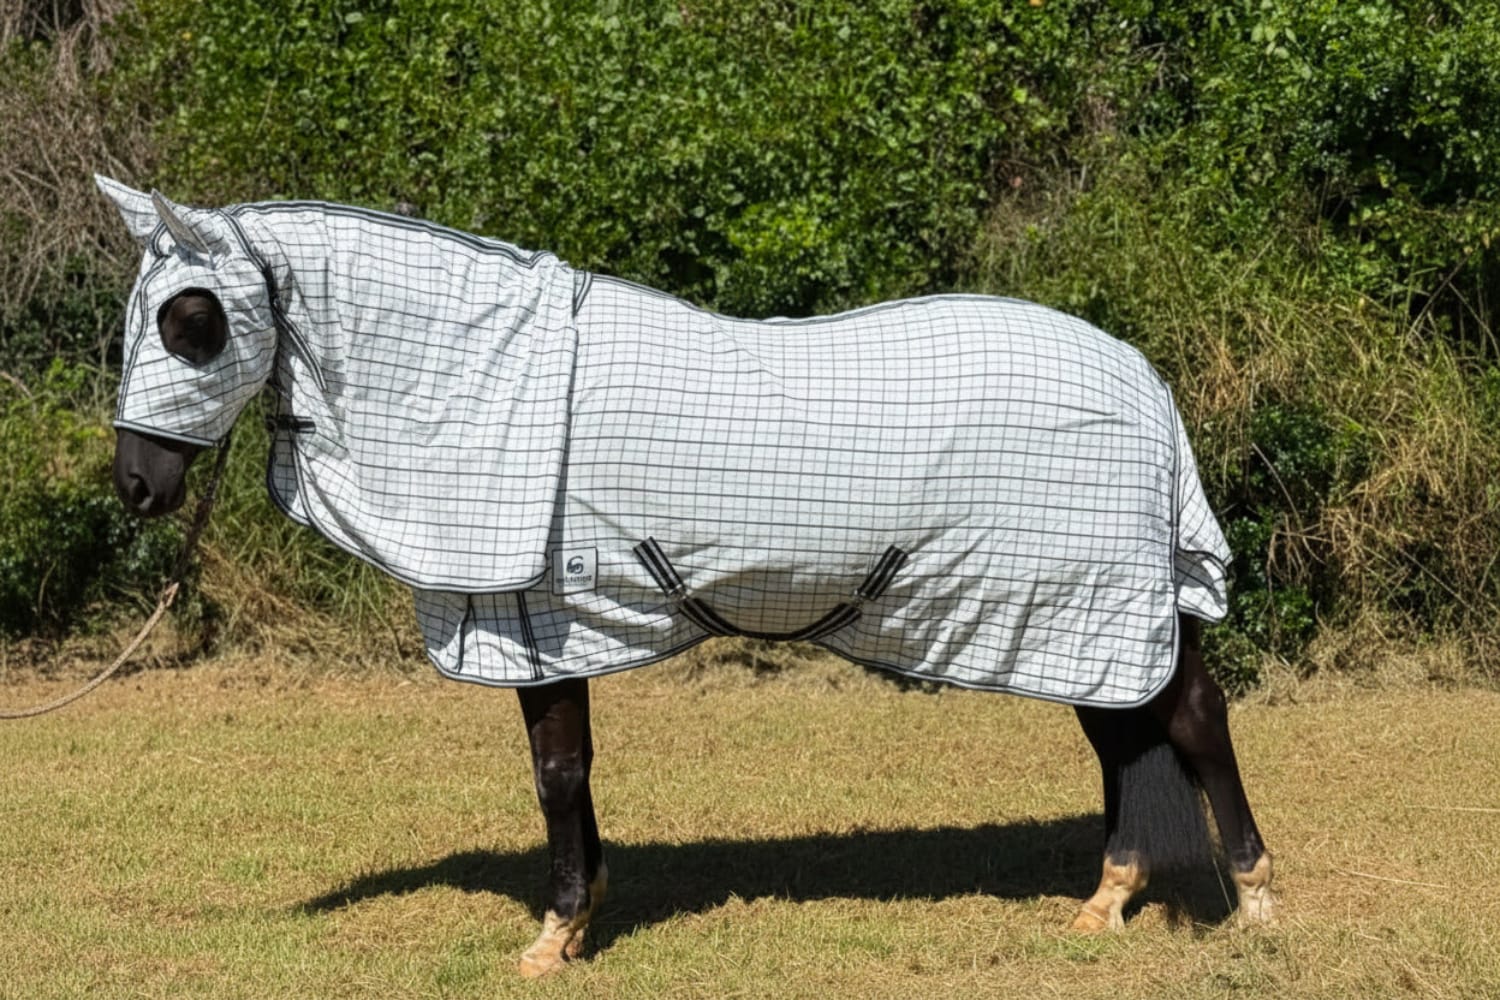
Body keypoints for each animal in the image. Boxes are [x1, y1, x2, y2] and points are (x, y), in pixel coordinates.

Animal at [96, 175, 1272, 977]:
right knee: (1126, 741)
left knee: (1192, 722)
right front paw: (583, 916)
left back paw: (1257, 899)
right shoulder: (551, 627)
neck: (495, 386)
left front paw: (556, 933)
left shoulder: (542, 618)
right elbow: (567, 774)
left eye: (189, 320)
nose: (137, 485)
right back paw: (1105, 903)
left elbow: (556, 773)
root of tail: (1144, 380)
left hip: (1095, 606)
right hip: (1072, 621)